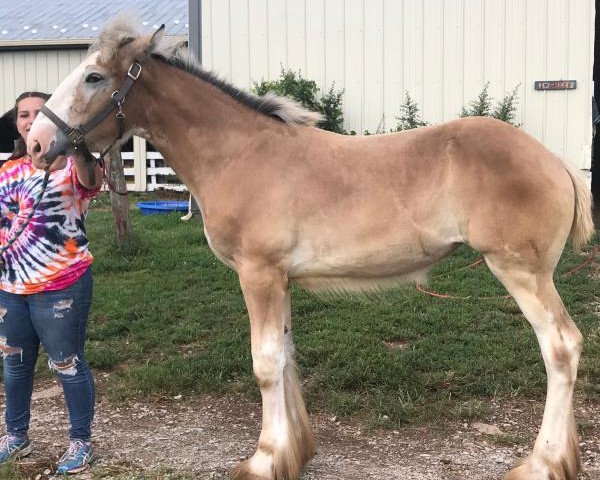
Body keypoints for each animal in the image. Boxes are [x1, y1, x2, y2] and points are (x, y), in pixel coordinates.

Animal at [27, 20, 592, 480]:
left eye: (93, 77)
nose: (34, 143)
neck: (240, 152)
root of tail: (555, 160)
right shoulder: (279, 281)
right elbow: (284, 355)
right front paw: (293, 452)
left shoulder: (257, 275)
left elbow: (264, 362)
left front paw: (264, 459)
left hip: (521, 272)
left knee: (561, 347)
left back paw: (542, 463)